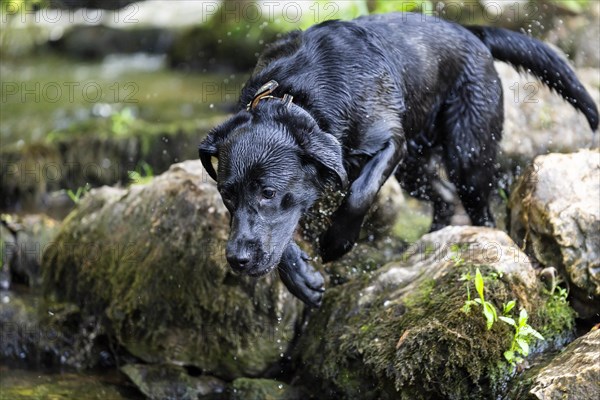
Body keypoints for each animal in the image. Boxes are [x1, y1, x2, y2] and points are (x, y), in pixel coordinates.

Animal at [199, 12, 596, 306]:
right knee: (444, 197)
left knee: (479, 209)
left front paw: (337, 242)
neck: (294, 95)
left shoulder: (390, 141)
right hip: (414, 171)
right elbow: (275, 238)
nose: (236, 260)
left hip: (467, 157)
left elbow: (359, 192)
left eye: (268, 192)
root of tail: (470, 32)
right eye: (227, 195)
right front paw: (301, 279)